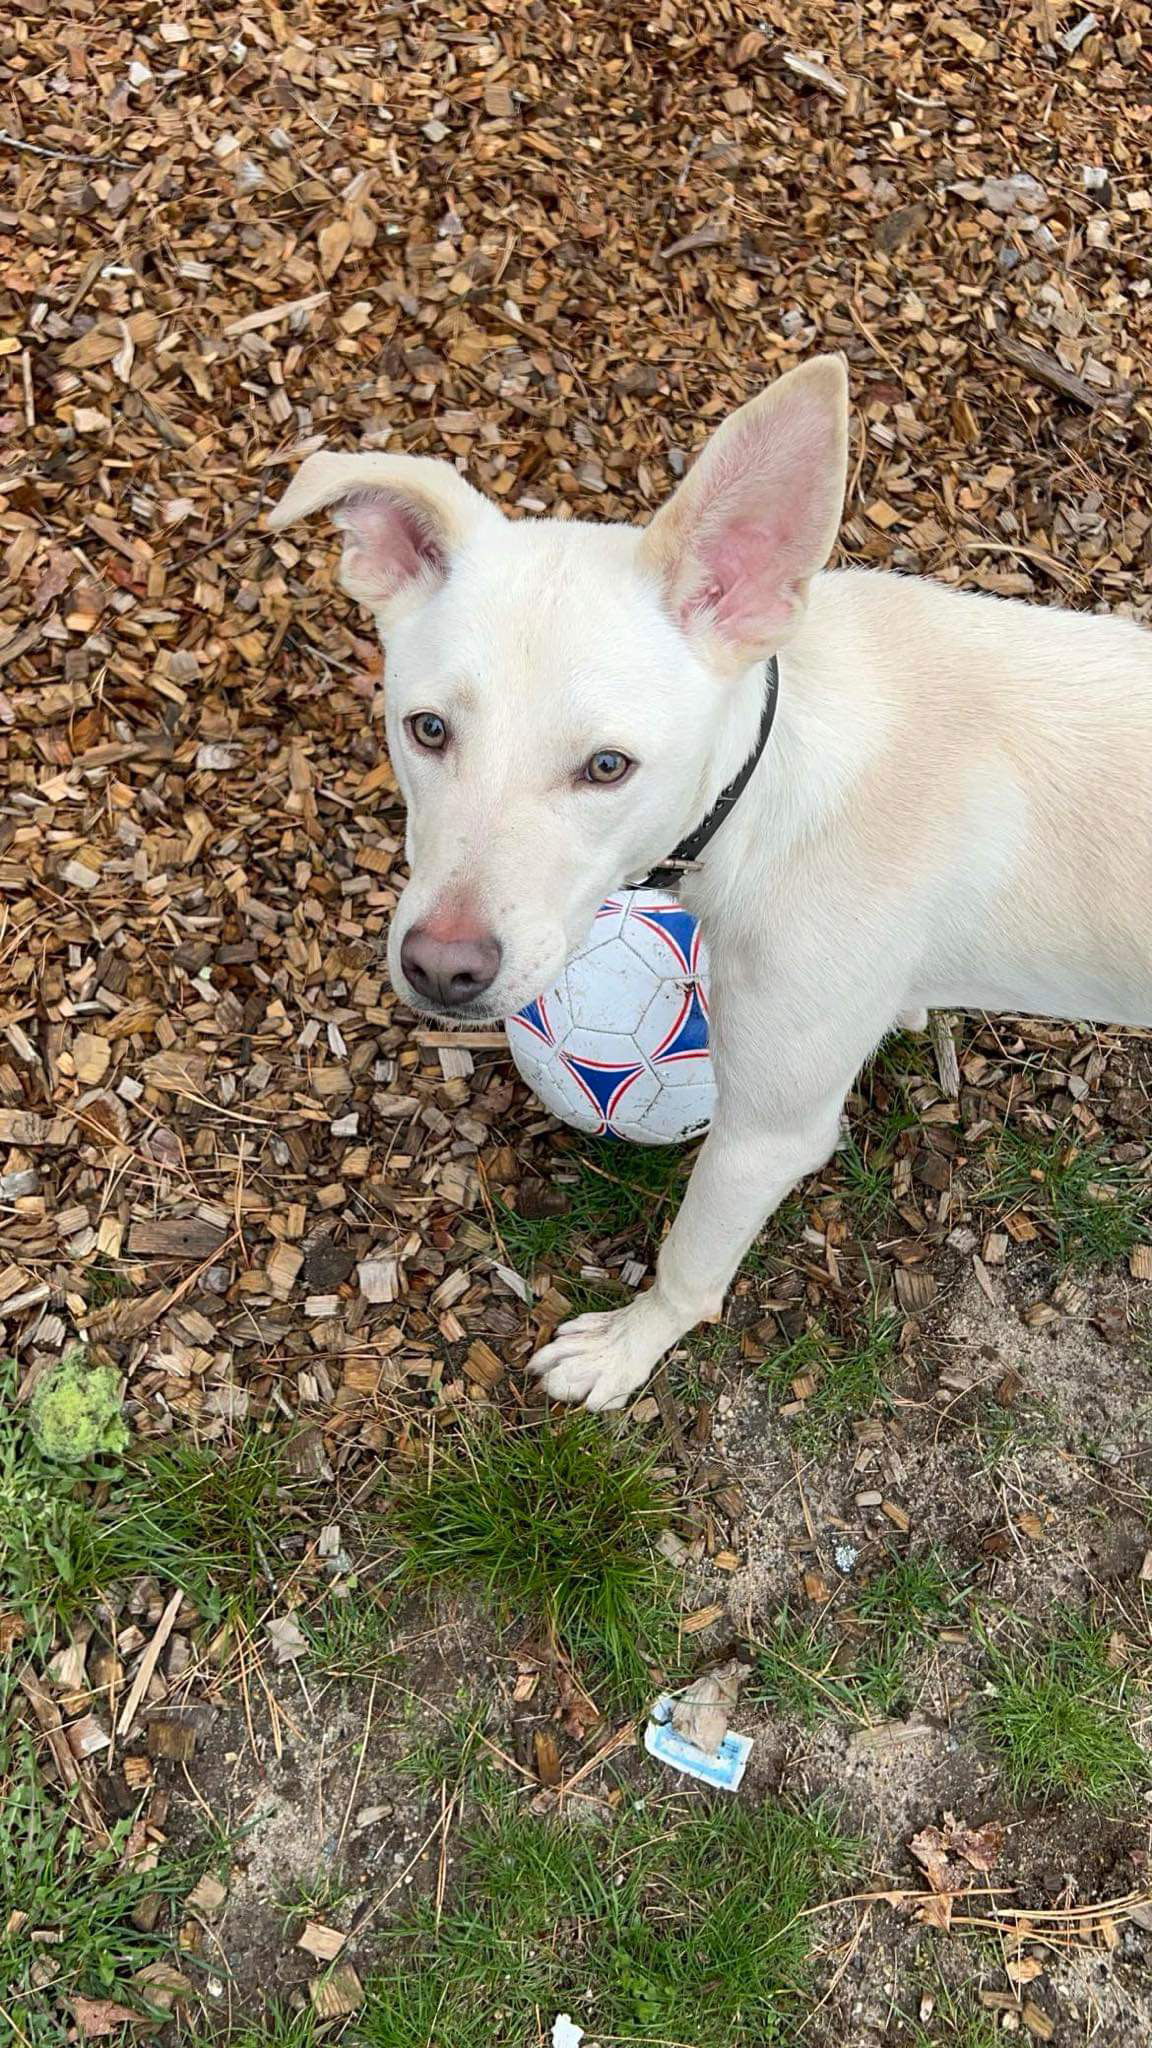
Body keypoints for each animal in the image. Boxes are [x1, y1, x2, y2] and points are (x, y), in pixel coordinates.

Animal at [270, 356, 1147, 1409]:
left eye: (608, 767)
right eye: (428, 729)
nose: (443, 970)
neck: (773, 777)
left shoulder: (768, 1130)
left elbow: (689, 1264)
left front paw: (625, 1350)